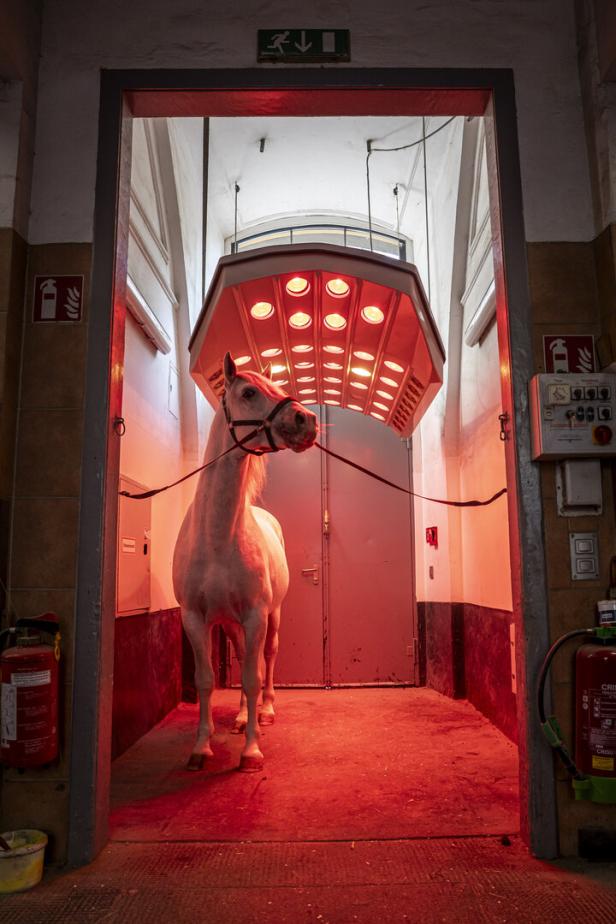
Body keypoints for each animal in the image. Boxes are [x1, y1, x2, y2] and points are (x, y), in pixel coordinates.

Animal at [172, 352, 318, 772]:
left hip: (272, 616)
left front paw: (251, 749)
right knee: (242, 657)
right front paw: (201, 747)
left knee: (267, 658)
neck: (218, 538)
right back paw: (239, 717)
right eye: (249, 392)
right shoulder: (195, 619)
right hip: (230, 623)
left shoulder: (256, 615)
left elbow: (253, 678)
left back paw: (264, 711)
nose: (307, 420)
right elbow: (205, 680)